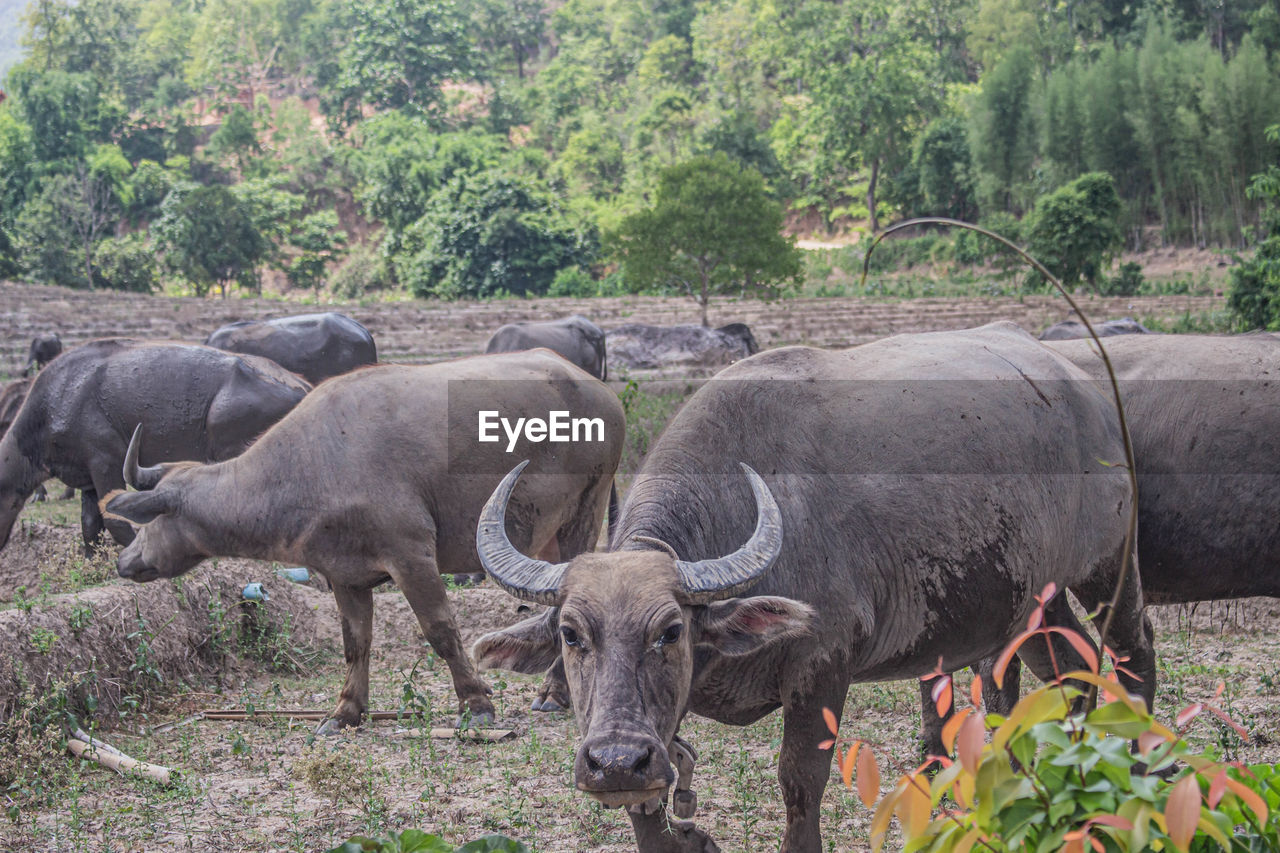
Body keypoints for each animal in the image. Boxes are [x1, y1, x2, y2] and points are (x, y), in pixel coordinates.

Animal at [0, 338, 309, 550]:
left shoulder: (106, 463)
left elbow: (115, 520)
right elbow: (90, 527)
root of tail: (300, 386)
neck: (56, 401)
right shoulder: (87, 480)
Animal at [102, 350, 622, 732]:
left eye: (148, 522)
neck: (313, 463)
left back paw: (554, 693)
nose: (125, 562)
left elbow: (441, 631)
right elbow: (356, 643)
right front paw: (345, 711)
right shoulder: (345, 576)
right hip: (547, 535)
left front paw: (476, 704)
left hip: (585, 511)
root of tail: (599, 391)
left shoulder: (411, 556)